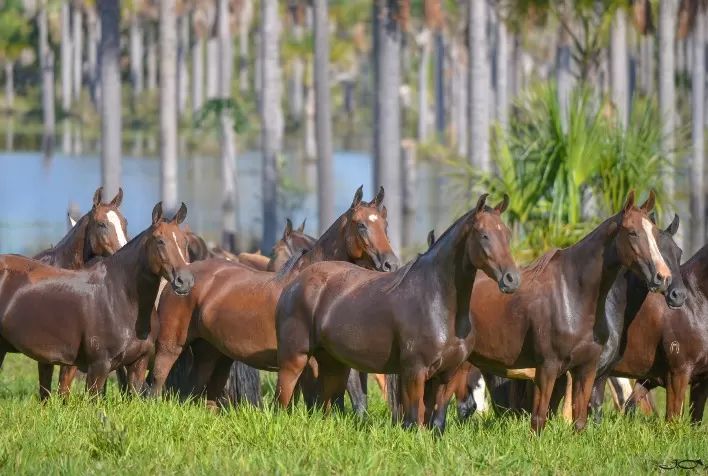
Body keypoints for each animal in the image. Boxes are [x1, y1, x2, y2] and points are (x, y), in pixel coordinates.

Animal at [148, 186, 400, 410]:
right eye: (361, 225)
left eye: (385, 225)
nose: (391, 264)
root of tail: (180, 277)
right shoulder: (308, 364)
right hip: (170, 348)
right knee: (156, 383)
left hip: (210, 352)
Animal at [274, 193, 521, 434]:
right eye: (484, 235)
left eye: (507, 235)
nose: (511, 279)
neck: (439, 304)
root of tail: (293, 283)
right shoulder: (415, 372)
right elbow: (413, 422)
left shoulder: (448, 375)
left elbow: (436, 423)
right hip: (293, 360)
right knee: (282, 403)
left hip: (333, 364)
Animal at [412, 190, 674, 434]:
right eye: (632, 232)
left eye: (654, 233)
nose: (662, 276)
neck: (572, 294)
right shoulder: (548, 368)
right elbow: (538, 420)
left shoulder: (586, 369)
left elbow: (579, 421)